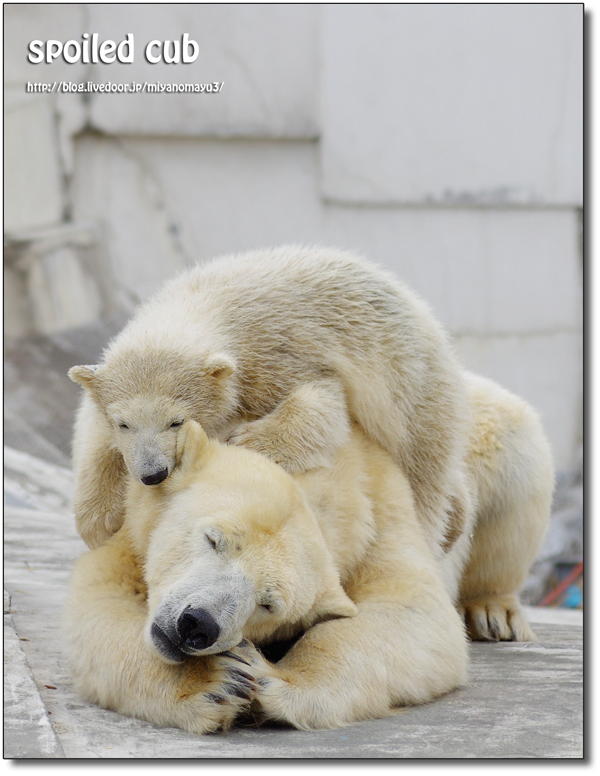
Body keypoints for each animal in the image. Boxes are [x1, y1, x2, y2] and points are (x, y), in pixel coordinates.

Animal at [65, 376, 552, 732]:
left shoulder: (382, 519)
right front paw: (215, 683)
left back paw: (494, 612)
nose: (196, 624)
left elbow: (414, 614)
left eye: (268, 603)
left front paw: (266, 677)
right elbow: (103, 602)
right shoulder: (128, 536)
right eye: (213, 539)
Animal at [70, 246, 472, 548]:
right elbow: (94, 441)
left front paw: (246, 442)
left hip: (414, 391)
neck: (202, 300)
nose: (153, 474)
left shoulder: (277, 350)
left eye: (176, 421)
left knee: (423, 475)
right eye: (123, 423)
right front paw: (100, 521)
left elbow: (321, 401)